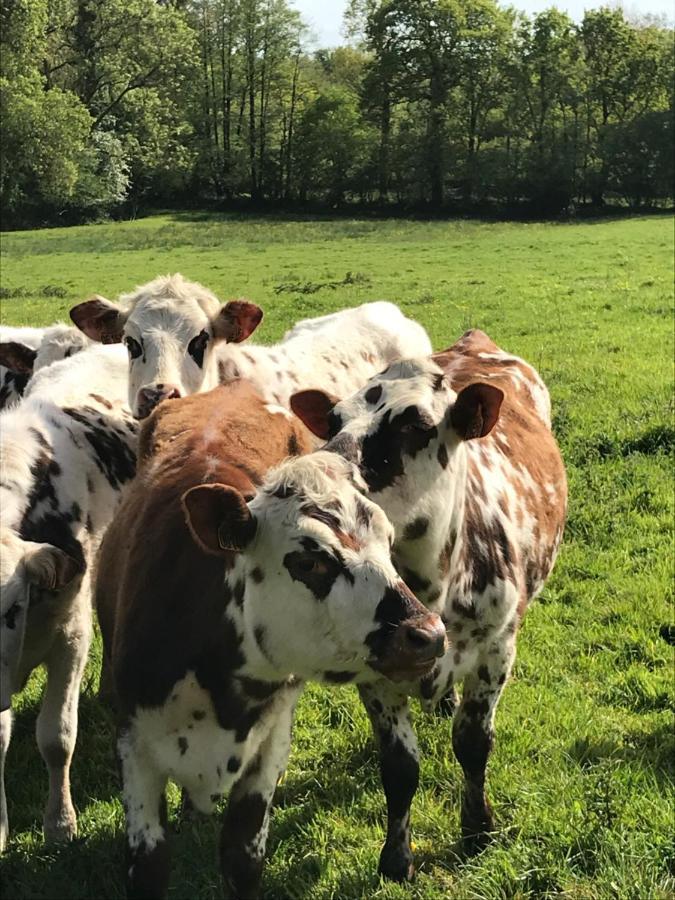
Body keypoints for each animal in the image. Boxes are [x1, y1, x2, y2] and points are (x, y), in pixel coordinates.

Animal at [95, 384, 444, 896]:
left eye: (388, 539)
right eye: (310, 561)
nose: (427, 634)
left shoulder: (268, 749)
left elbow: (243, 858)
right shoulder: (134, 748)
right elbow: (150, 866)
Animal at [294, 328, 568, 880]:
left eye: (415, 427)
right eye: (331, 423)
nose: (318, 483)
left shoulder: (498, 648)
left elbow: (473, 743)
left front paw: (478, 828)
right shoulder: (374, 669)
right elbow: (400, 769)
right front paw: (396, 858)